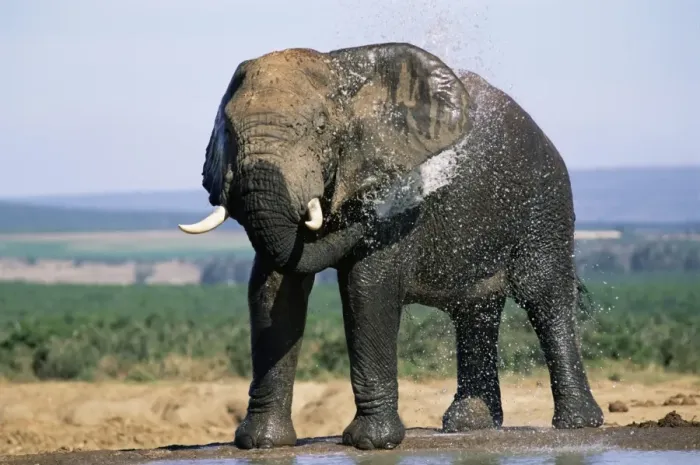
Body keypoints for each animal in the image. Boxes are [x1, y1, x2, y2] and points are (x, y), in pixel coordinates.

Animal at [178, 42, 604, 450]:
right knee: (476, 309)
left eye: (320, 127)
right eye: (228, 131)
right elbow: (272, 291)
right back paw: (469, 425)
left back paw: (578, 425)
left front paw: (372, 443)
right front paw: (260, 444)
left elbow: (367, 287)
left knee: (543, 294)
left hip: (544, 200)